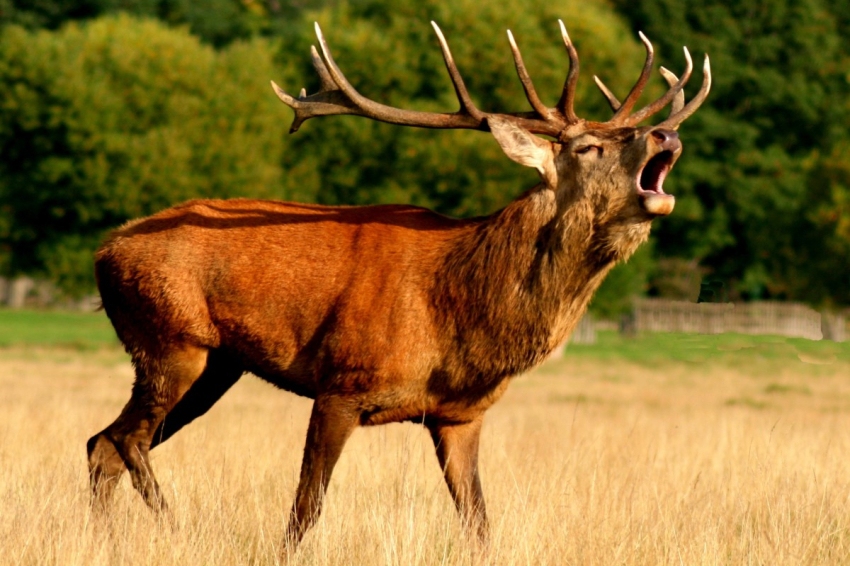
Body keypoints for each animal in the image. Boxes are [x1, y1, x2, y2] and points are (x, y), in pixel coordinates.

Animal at [87, 19, 710, 554]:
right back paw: (174, 530)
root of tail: (103, 251)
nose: (665, 132)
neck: (458, 315)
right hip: (170, 339)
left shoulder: (461, 414)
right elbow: (305, 509)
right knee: (126, 440)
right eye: (587, 147)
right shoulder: (341, 380)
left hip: (217, 365)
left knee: (102, 444)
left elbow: (479, 522)